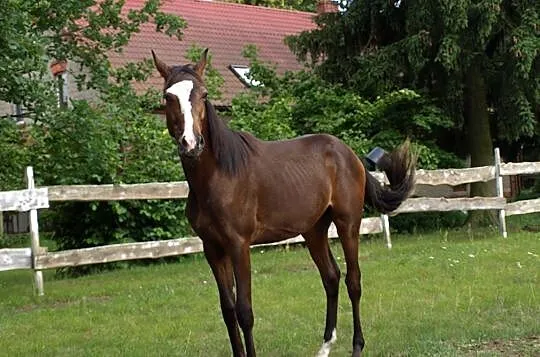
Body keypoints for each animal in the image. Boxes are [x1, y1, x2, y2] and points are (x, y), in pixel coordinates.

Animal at [154, 48, 416, 356]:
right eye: (168, 96)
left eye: (204, 94)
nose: (191, 143)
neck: (219, 176)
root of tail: (349, 154)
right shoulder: (213, 249)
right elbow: (228, 311)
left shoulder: (238, 246)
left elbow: (244, 312)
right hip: (314, 230)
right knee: (331, 278)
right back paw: (324, 347)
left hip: (348, 223)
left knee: (353, 281)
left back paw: (357, 347)